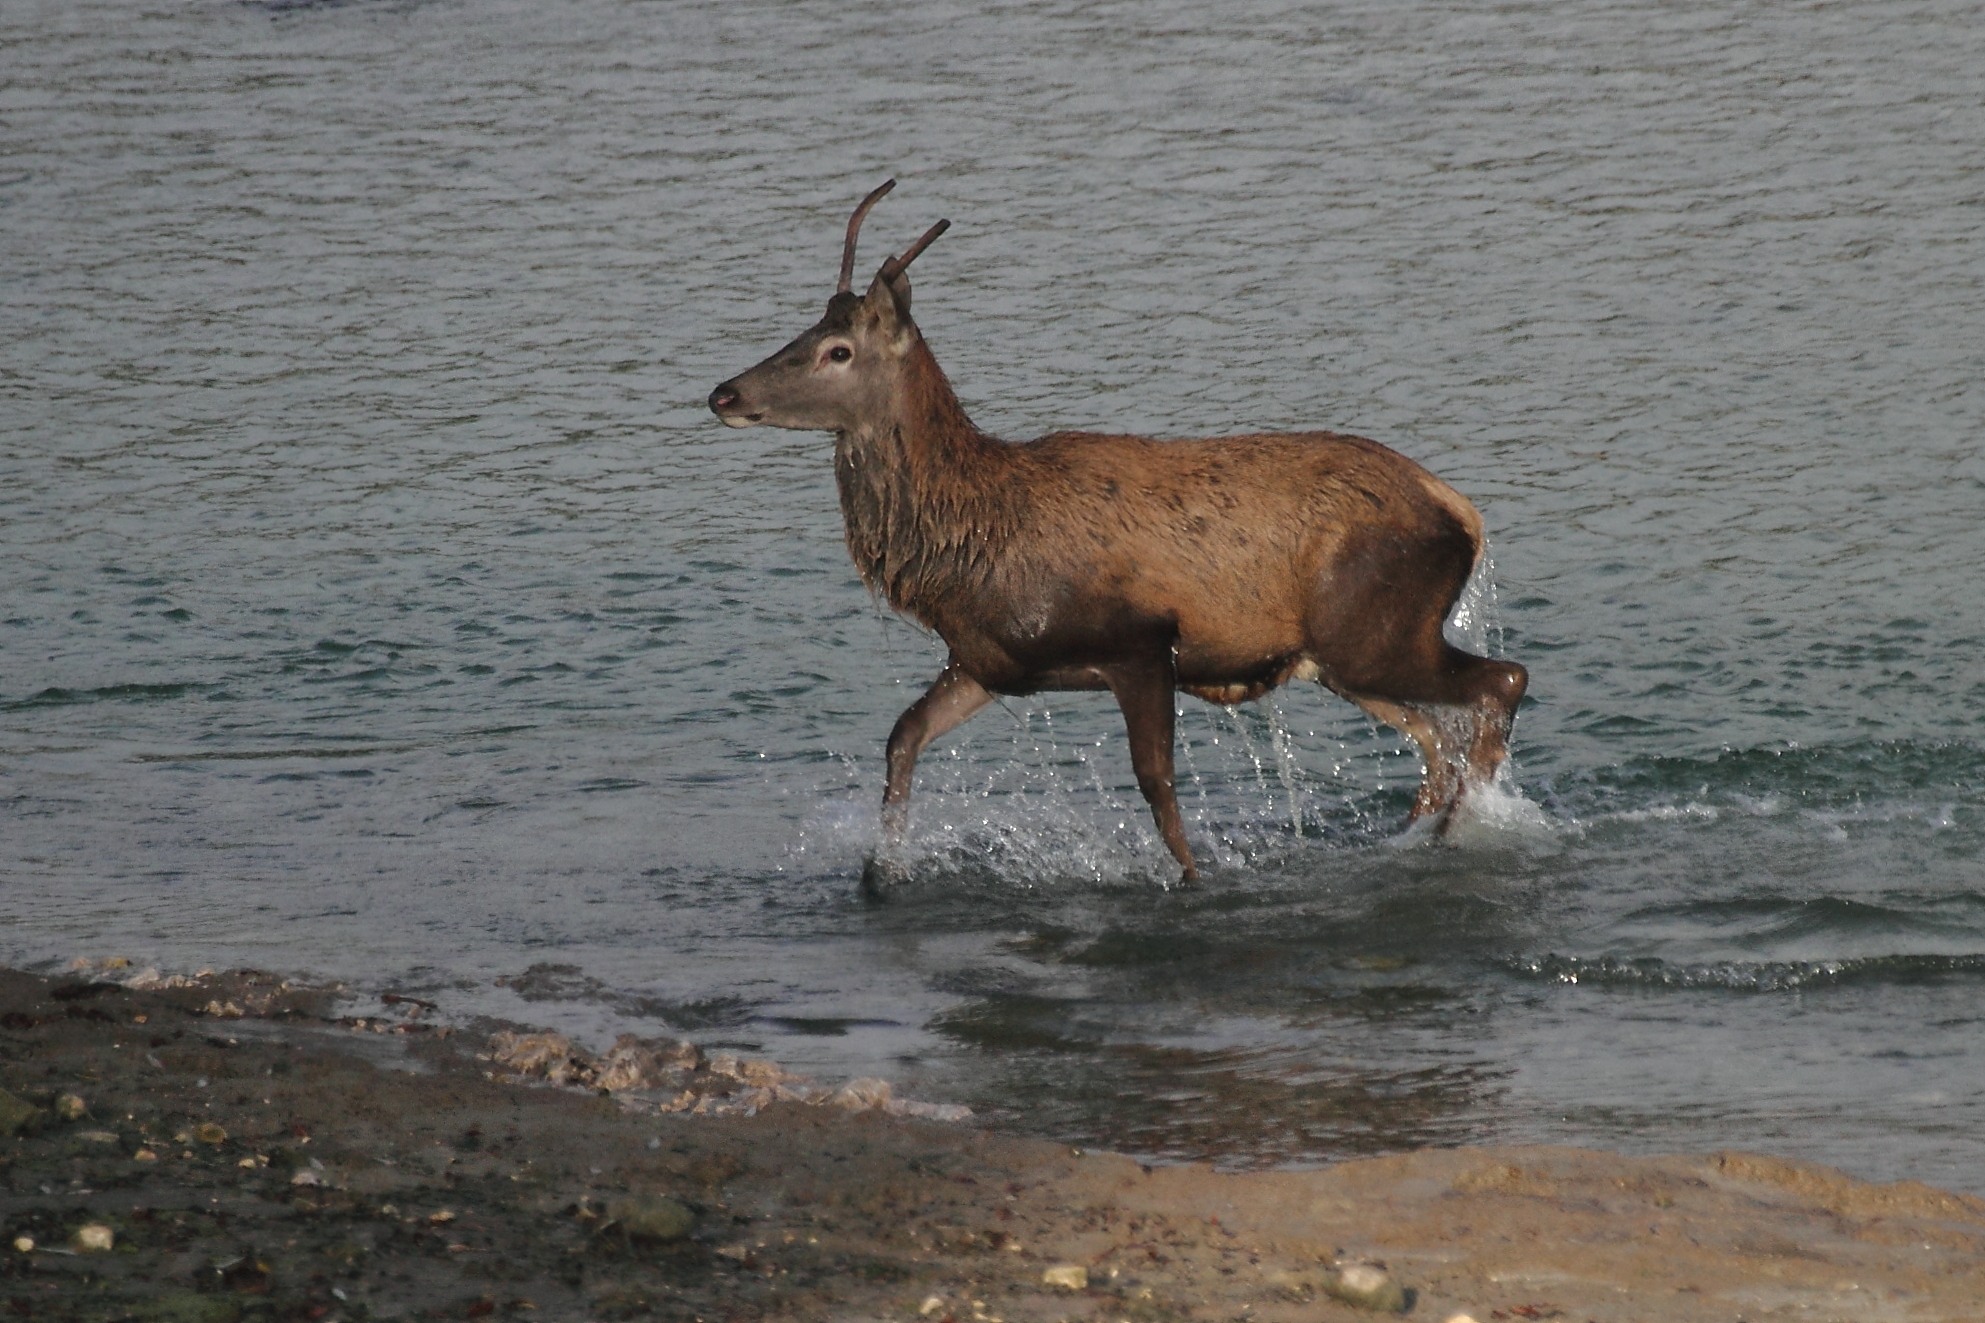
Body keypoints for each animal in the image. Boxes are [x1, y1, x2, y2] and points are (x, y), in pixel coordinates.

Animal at [709, 181, 1528, 892]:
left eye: (838, 351)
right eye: (809, 330)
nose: (723, 393)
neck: (972, 544)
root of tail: (1462, 510)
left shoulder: (1140, 642)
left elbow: (1157, 788)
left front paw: (1193, 879)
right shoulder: (986, 661)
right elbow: (902, 735)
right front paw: (881, 869)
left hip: (1376, 631)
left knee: (1503, 680)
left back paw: (1465, 823)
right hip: (1341, 657)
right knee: (1436, 737)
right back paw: (1427, 826)